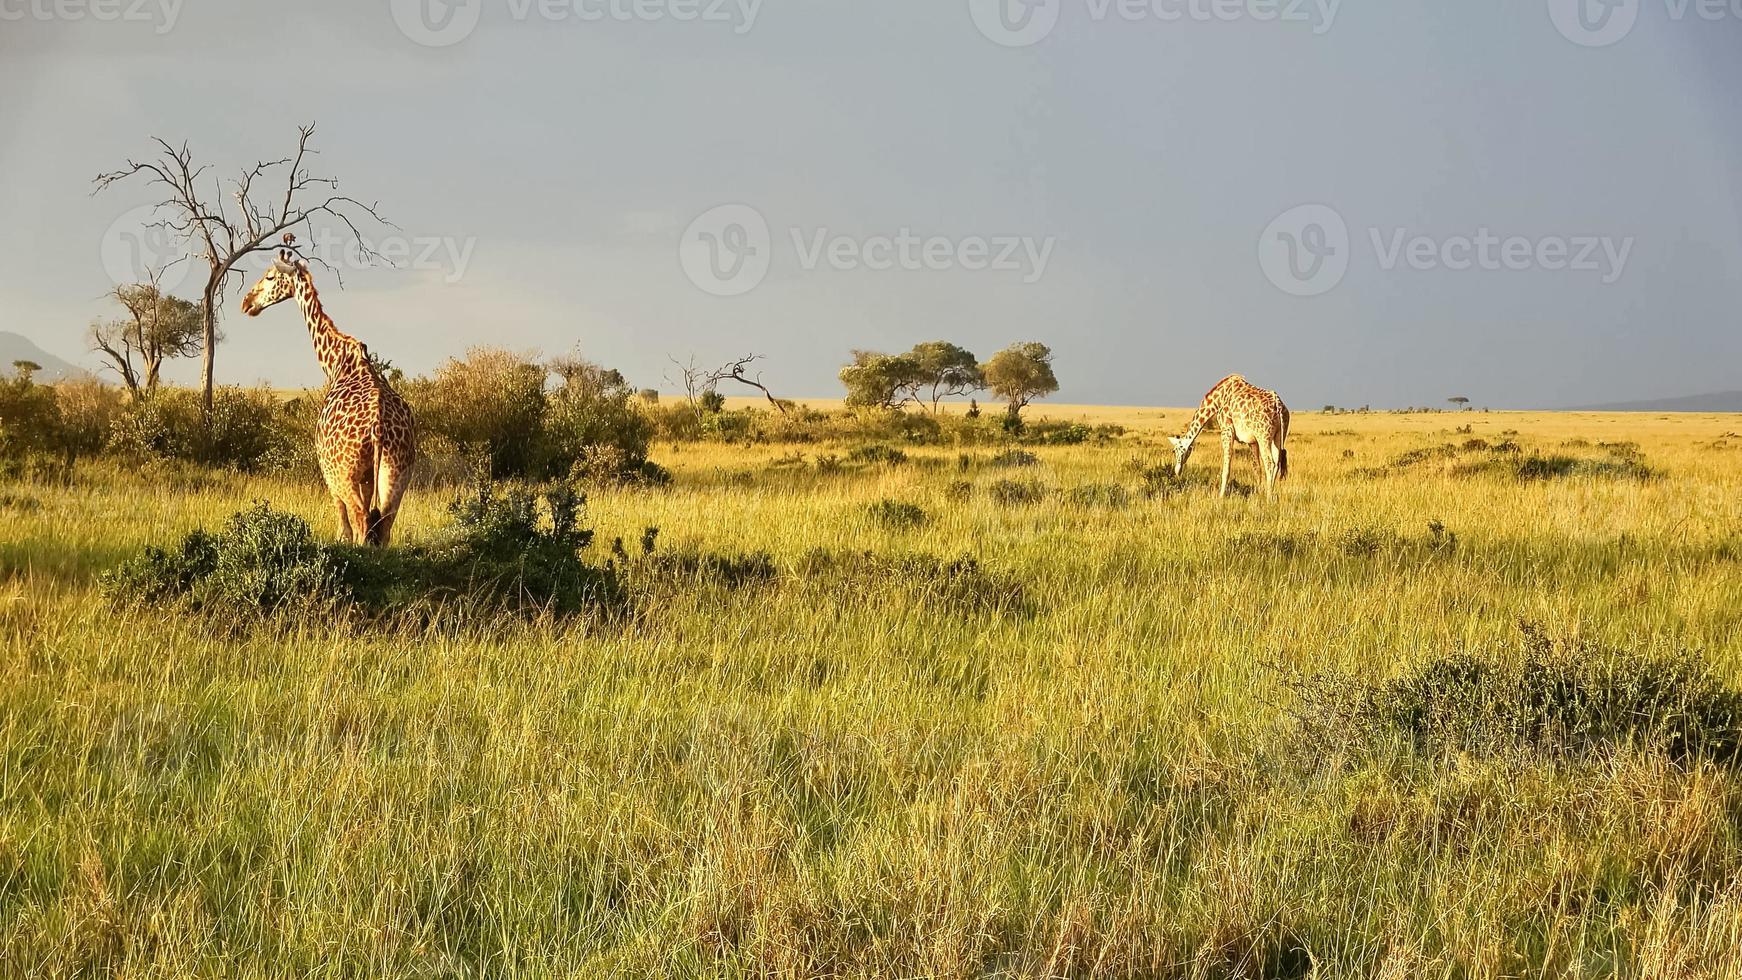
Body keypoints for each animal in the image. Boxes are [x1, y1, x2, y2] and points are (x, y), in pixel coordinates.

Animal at [240, 248, 416, 543]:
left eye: (270, 276)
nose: (247, 303)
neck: (336, 361)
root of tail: (378, 429)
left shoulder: (328, 471)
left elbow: (342, 527)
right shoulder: (369, 477)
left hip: (344, 474)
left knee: (360, 521)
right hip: (396, 472)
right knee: (382, 528)